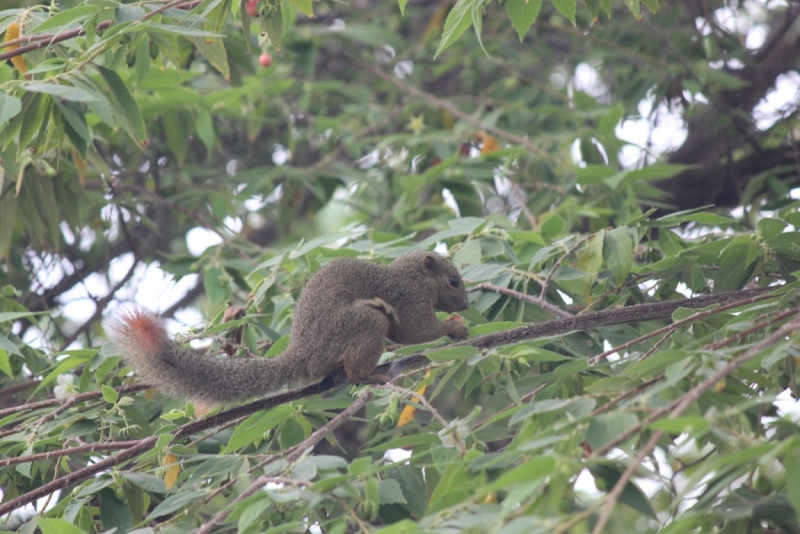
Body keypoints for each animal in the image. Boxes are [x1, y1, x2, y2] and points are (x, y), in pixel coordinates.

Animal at [107, 250, 468, 410]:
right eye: (453, 279)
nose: (465, 304)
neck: (414, 277)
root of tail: (303, 354)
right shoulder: (409, 302)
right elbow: (415, 332)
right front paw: (454, 327)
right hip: (364, 323)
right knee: (356, 366)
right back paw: (371, 375)